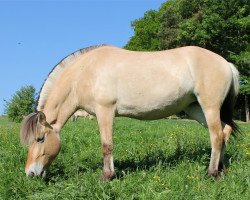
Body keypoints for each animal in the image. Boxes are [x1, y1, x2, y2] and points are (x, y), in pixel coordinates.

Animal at [20, 45, 240, 180]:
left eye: (40, 139)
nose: (30, 173)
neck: (86, 72)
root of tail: (225, 63)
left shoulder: (105, 112)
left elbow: (107, 145)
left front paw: (107, 176)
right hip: (195, 109)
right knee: (224, 132)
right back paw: (221, 169)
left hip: (209, 107)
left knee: (216, 136)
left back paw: (211, 173)